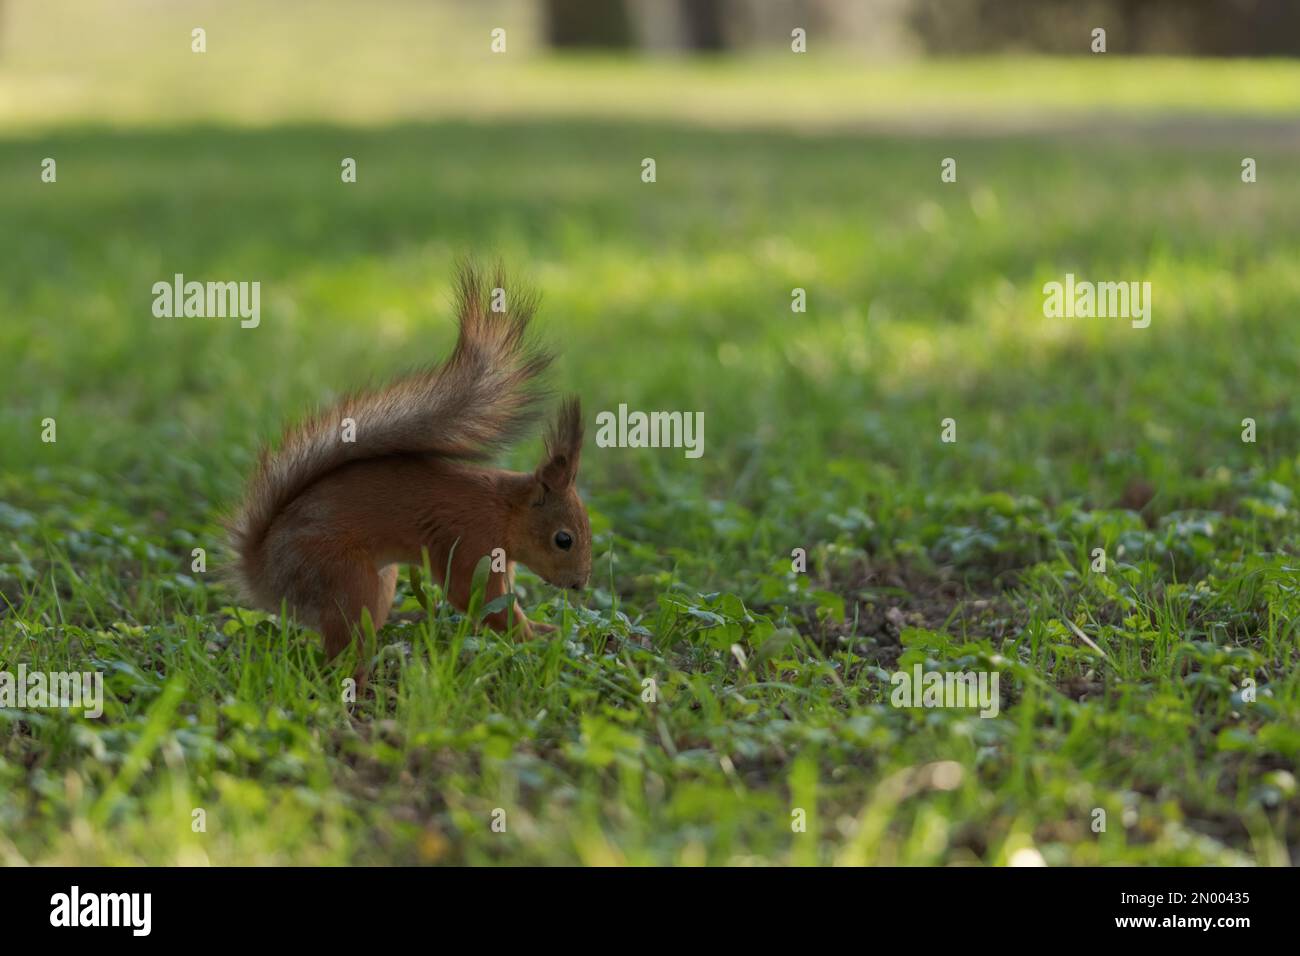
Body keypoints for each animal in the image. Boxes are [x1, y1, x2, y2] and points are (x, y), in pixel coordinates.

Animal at [226, 264, 592, 675]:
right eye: (564, 539)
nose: (580, 585)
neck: (506, 511)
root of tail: (265, 577)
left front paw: (544, 630)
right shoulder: (471, 540)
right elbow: (476, 597)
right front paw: (535, 638)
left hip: (379, 583)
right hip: (342, 578)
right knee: (341, 652)